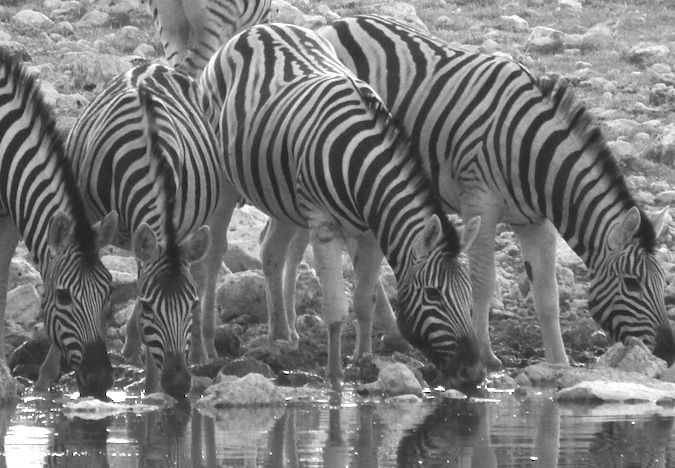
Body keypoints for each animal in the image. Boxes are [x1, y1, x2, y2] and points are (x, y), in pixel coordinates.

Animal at [58, 63, 222, 398]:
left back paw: (198, 351)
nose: (178, 384)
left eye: (191, 304)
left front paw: (151, 388)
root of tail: (153, 65)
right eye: (148, 307)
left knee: (201, 271)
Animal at [199, 21, 486, 388]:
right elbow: (336, 308)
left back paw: (281, 335)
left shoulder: (373, 233)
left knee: (271, 251)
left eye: (467, 294)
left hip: (282, 195)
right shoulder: (323, 225)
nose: (474, 373)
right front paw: (335, 377)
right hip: (224, 178)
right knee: (214, 253)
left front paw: (363, 359)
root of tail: (262, 27)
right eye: (433, 294)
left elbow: (364, 299)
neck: (363, 169)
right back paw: (207, 345)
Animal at [296, 15, 675, 370]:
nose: (666, 352)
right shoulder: (480, 203)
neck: (531, 153)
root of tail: (338, 24)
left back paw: (392, 332)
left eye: (662, 283)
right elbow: (483, 283)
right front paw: (487, 354)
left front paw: (559, 364)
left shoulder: (536, 222)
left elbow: (547, 295)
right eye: (632, 283)